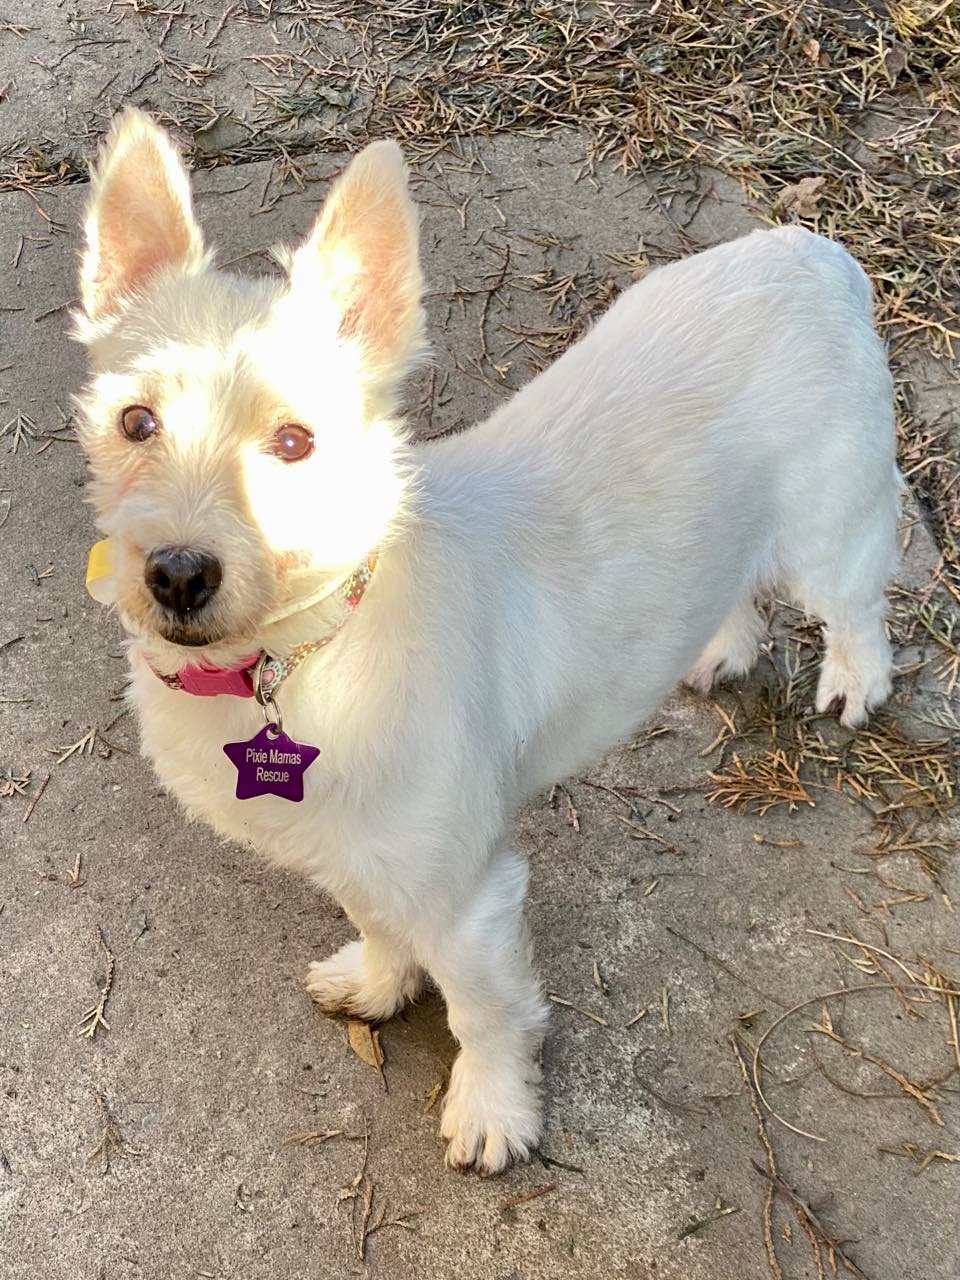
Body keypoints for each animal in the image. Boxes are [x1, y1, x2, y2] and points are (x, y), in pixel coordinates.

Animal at [75, 115, 901, 1172]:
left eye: (295, 443)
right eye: (136, 421)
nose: (177, 574)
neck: (308, 650)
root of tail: (815, 253)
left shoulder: (468, 896)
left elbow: (486, 1010)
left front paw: (494, 1108)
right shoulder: (364, 853)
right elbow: (377, 921)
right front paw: (379, 984)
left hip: (829, 530)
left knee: (857, 604)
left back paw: (854, 680)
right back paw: (719, 646)